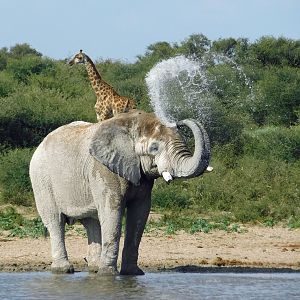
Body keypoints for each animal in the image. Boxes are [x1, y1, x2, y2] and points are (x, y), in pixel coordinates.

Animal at [29, 109, 210, 276]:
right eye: (154, 148)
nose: (179, 121)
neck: (132, 124)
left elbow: (139, 215)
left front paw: (133, 273)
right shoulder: (104, 169)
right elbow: (113, 213)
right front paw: (108, 274)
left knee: (92, 222)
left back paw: (94, 268)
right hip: (41, 180)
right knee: (55, 221)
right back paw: (64, 270)